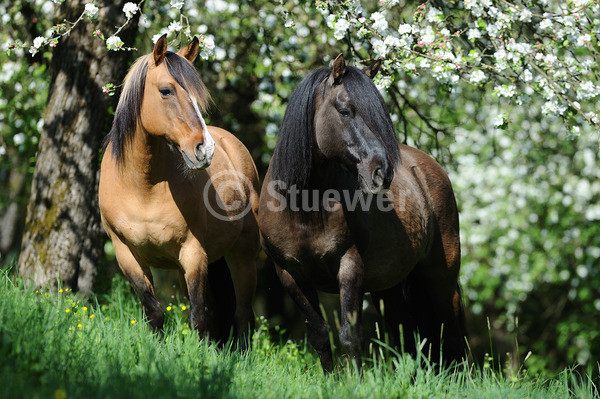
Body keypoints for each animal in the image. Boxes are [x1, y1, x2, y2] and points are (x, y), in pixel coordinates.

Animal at [98, 36, 258, 346]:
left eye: (197, 96)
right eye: (166, 91)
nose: (205, 149)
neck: (143, 188)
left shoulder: (193, 253)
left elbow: (198, 317)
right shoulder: (127, 255)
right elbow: (154, 312)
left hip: (244, 254)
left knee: (243, 316)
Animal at [258, 54, 468, 374]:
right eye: (345, 111)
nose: (383, 172)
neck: (304, 210)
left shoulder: (350, 266)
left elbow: (350, 335)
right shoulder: (290, 274)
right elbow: (319, 334)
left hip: (440, 273)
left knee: (452, 330)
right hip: (389, 285)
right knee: (406, 334)